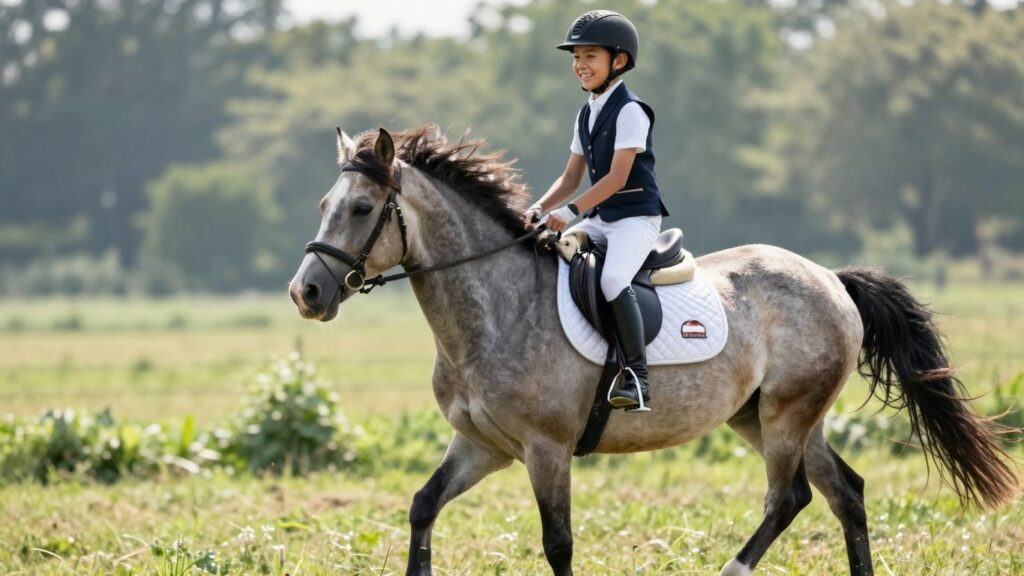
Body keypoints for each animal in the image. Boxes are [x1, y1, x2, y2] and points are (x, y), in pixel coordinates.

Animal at [287, 126, 1019, 576]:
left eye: (360, 210)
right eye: (323, 203)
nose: (306, 292)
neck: (491, 309)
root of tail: (831, 279)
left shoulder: (546, 450)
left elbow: (558, 543)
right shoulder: (483, 446)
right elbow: (422, 507)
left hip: (785, 416)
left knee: (788, 499)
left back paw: (730, 569)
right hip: (766, 417)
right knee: (846, 493)